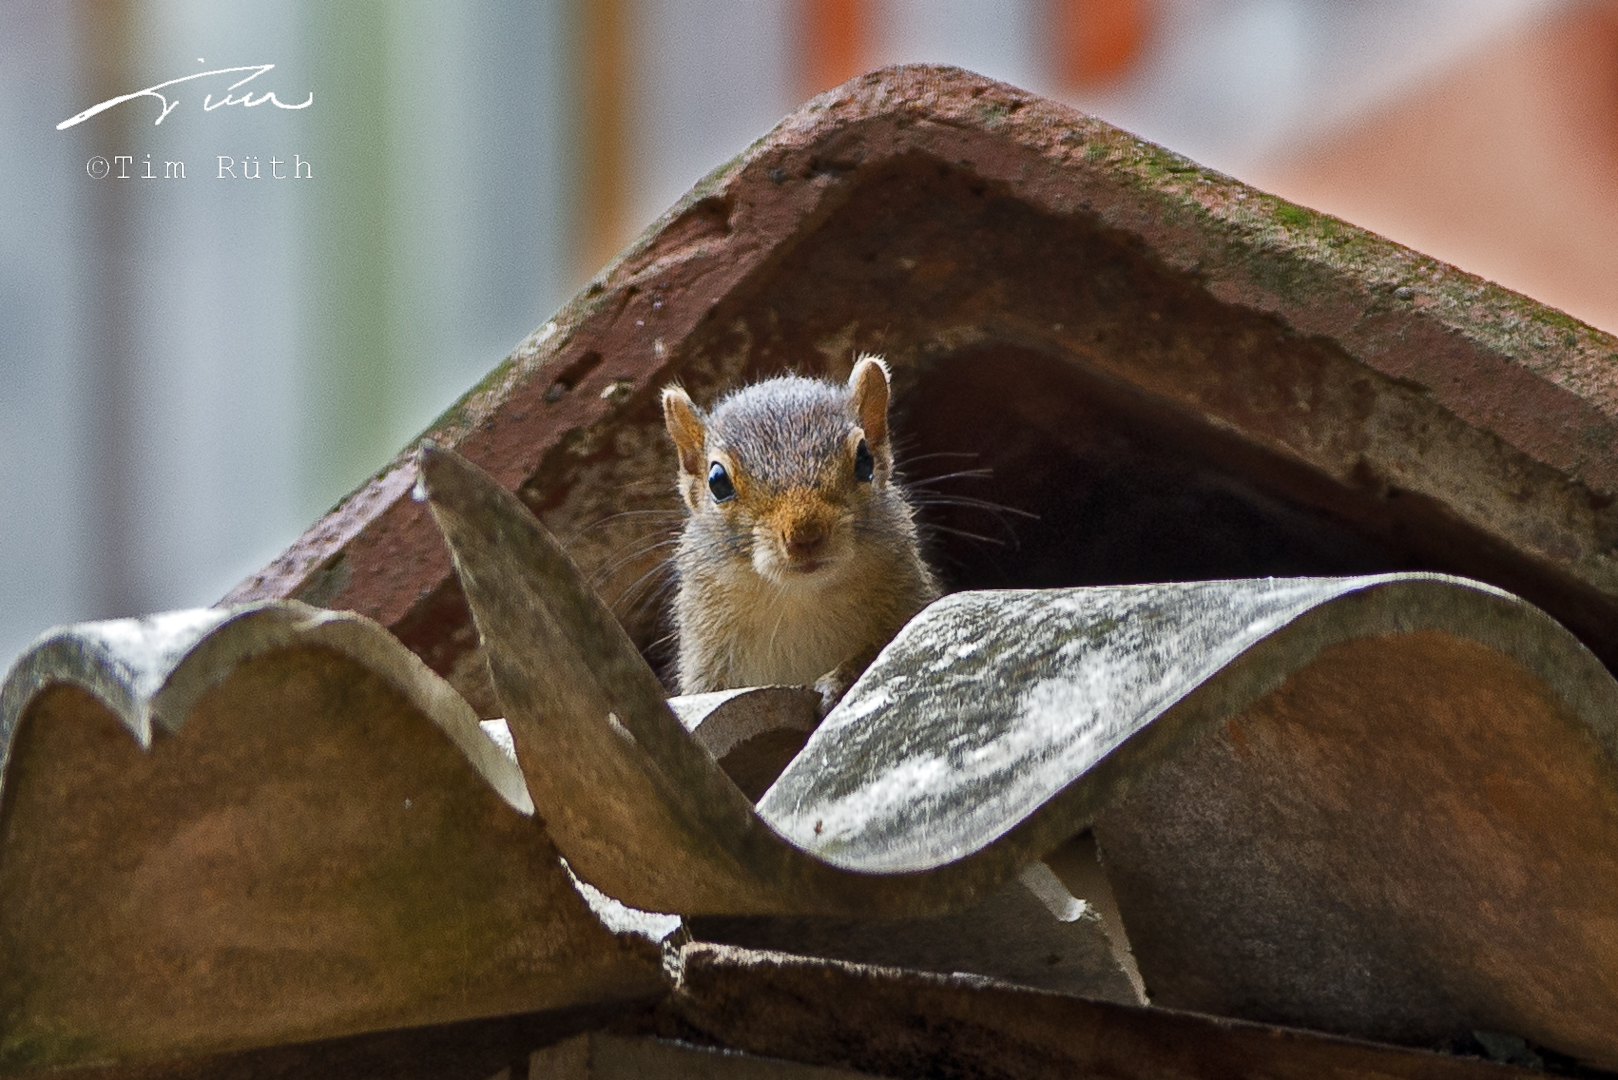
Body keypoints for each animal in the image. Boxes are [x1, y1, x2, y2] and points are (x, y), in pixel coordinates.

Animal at [663, 354, 944, 709]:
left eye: (864, 459)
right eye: (717, 481)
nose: (805, 535)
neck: (800, 600)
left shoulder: (912, 604)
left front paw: (838, 680)